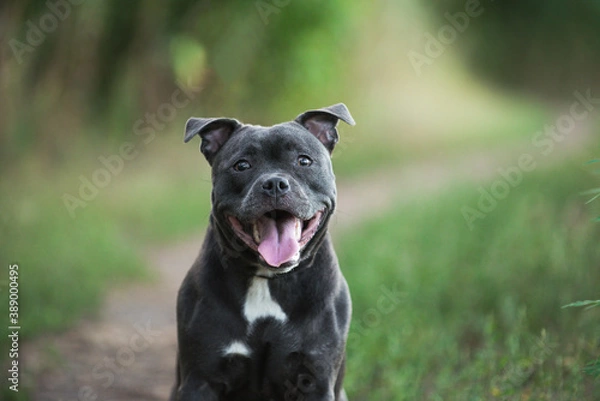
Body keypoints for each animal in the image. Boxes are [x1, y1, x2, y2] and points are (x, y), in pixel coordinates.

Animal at [171, 104, 354, 400]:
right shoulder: (200, 380)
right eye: (242, 165)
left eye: (304, 161)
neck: (266, 279)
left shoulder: (314, 379)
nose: (275, 183)